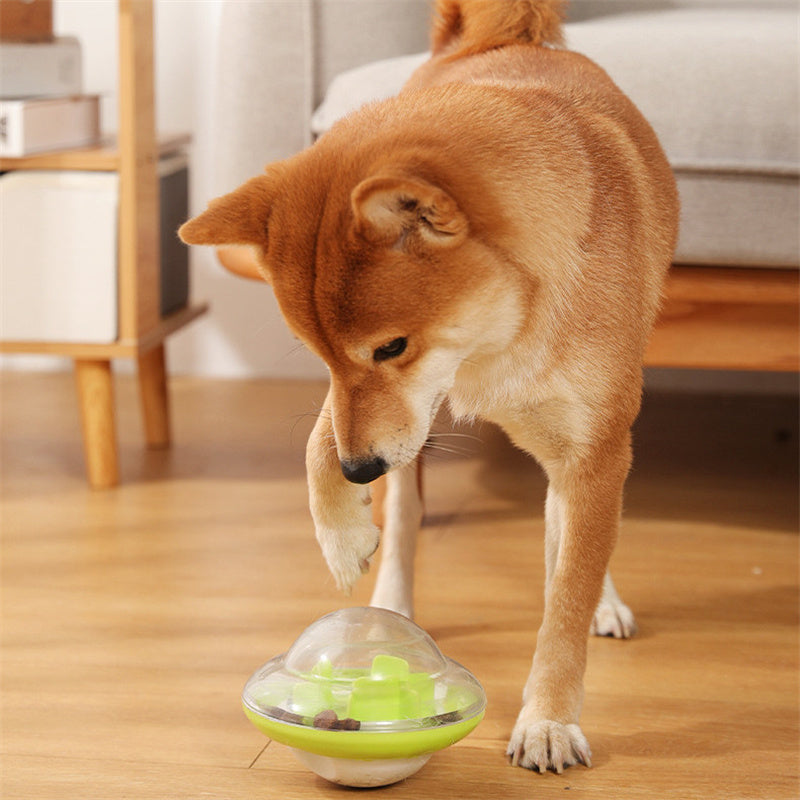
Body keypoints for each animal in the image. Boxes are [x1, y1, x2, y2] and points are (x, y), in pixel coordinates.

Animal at [178, 0, 680, 776]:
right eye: (318, 353)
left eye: (393, 346)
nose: (360, 469)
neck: (505, 334)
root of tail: (497, 42)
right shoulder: (379, 410)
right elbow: (319, 441)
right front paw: (343, 536)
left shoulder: (593, 448)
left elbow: (565, 600)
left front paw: (549, 718)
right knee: (410, 520)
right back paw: (389, 600)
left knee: (563, 533)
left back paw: (599, 597)